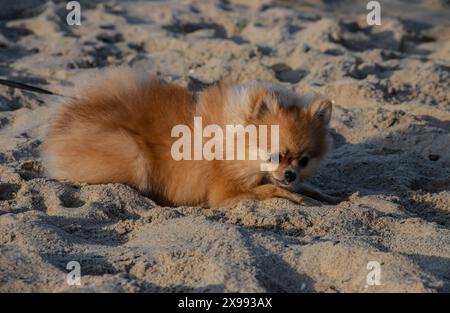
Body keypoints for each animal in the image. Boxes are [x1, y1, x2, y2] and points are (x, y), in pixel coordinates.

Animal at [44, 67, 338, 206]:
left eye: (304, 161)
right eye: (275, 156)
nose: (290, 174)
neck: (236, 141)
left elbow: (308, 188)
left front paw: (328, 196)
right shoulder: (225, 191)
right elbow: (268, 189)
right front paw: (292, 195)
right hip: (132, 152)